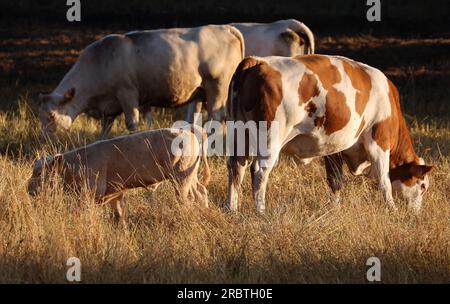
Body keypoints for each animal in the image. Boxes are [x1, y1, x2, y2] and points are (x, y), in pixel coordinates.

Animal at [28, 127, 211, 224]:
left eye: (39, 172)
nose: (28, 190)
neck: (78, 161)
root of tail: (188, 131)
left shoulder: (91, 193)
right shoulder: (114, 193)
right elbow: (119, 213)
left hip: (181, 178)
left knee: (188, 199)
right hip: (190, 176)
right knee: (200, 192)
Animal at [37, 25, 244, 138]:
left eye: (52, 117)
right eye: (41, 117)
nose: (45, 139)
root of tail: (225, 28)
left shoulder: (127, 94)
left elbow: (132, 123)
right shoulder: (111, 107)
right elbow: (106, 129)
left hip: (217, 88)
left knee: (217, 119)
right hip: (202, 92)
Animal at [229, 53, 432, 213]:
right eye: (422, 186)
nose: (416, 213)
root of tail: (258, 61)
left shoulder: (335, 148)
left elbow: (335, 180)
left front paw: (335, 208)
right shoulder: (379, 142)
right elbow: (385, 181)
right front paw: (392, 209)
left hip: (240, 136)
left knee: (236, 167)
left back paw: (231, 209)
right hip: (270, 139)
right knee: (259, 171)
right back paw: (260, 212)